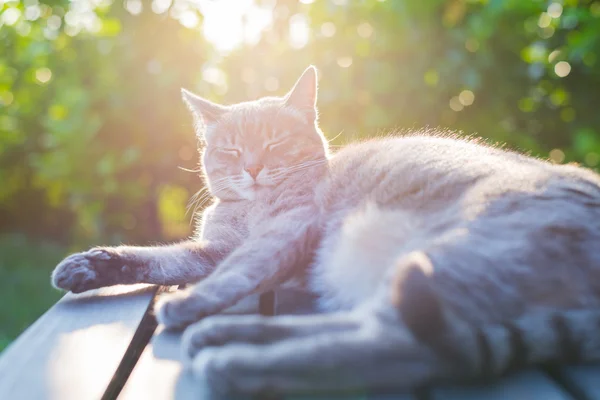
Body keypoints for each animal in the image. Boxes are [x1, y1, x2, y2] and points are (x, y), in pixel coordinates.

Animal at [50, 66, 600, 396]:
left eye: (274, 143)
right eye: (230, 149)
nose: (252, 168)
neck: (250, 209)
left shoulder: (283, 231)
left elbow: (236, 269)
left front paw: (185, 301)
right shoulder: (212, 249)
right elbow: (159, 257)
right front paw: (89, 265)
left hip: (454, 252)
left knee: (397, 347)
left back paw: (234, 360)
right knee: (371, 331)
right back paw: (231, 336)